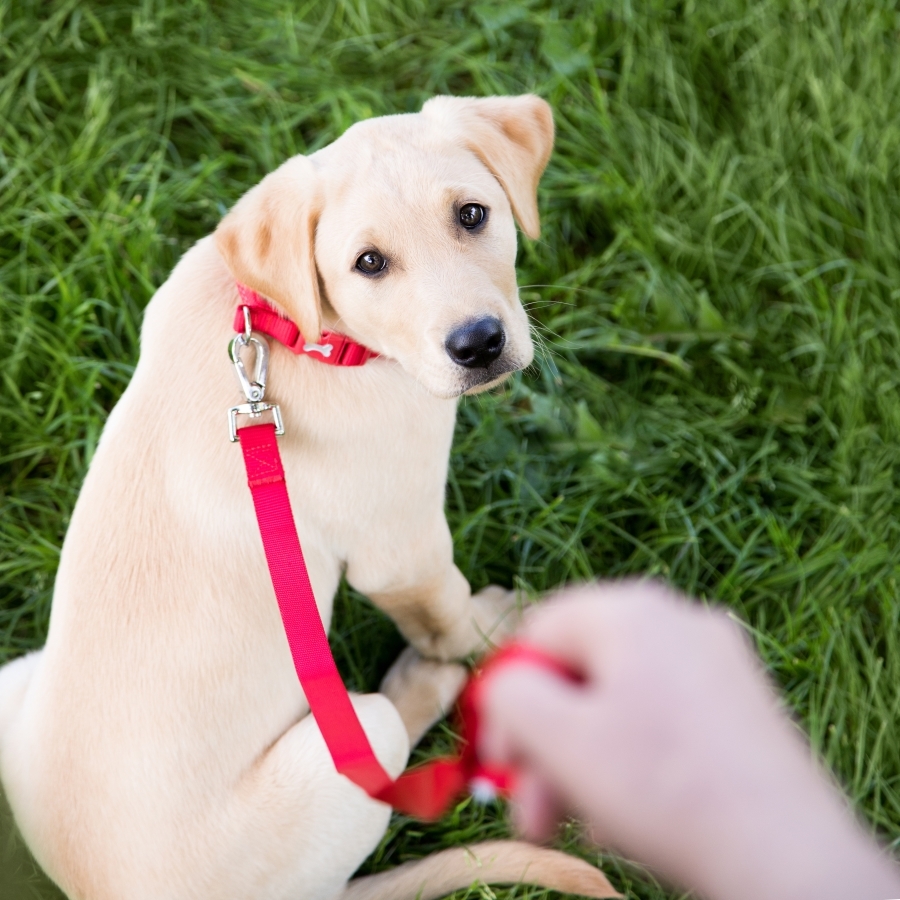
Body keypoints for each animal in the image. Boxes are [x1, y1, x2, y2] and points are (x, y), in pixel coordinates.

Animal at [0, 93, 620, 900]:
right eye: (369, 264)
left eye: (473, 215)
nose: (479, 343)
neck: (291, 329)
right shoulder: (401, 546)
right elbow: (451, 616)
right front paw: (497, 632)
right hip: (351, 749)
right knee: (386, 746)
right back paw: (421, 682)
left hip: (16, 680)